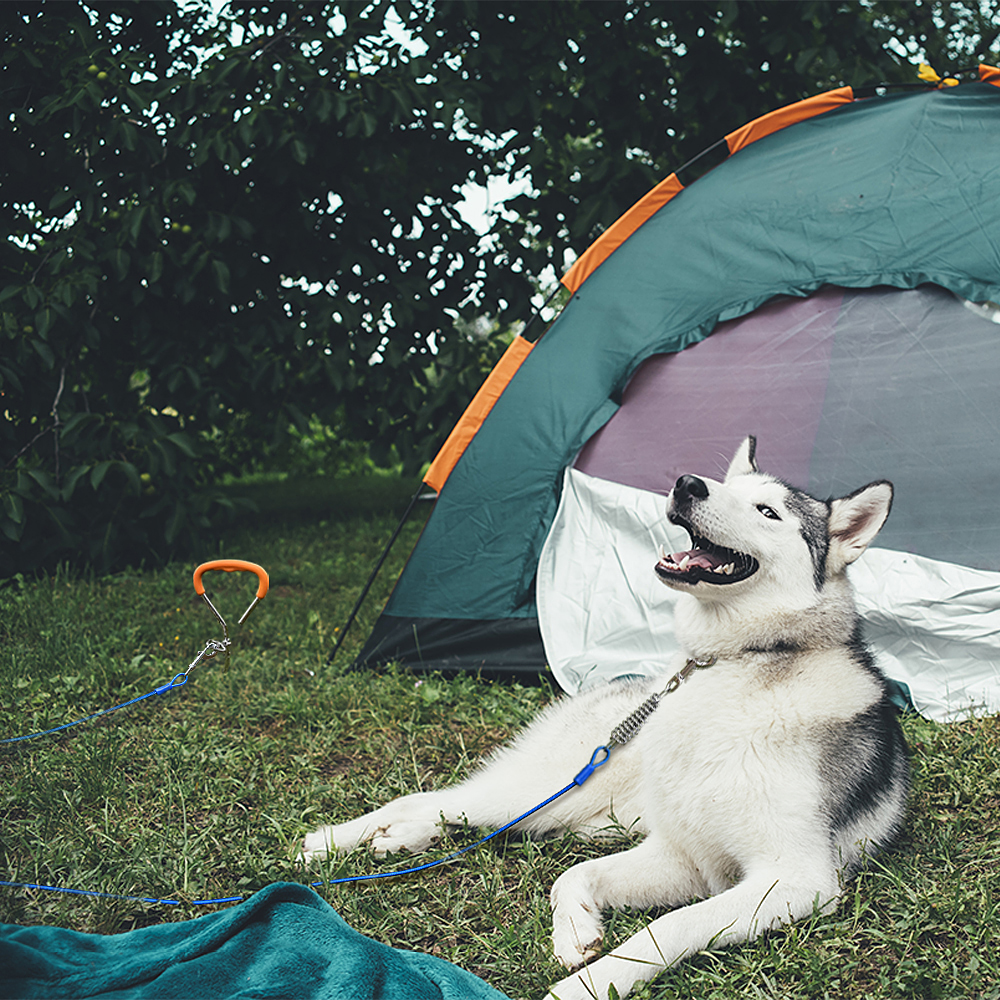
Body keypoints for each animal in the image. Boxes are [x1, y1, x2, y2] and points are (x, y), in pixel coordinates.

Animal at [300, 442, 912, 1000]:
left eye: (767, 511)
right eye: (723, 485)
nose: (688, 484)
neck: (734, 662)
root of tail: (629, 685)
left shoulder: (785, 878)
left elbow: (661, 922)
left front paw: (589, 979)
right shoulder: (691, 855)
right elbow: (573, 876)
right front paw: (576, 933)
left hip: (588, 817)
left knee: (469, 816)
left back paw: (397, 842)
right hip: (560, 789)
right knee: (434, 799)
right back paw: (331, 841)